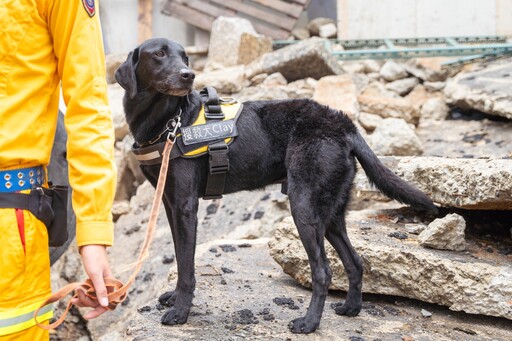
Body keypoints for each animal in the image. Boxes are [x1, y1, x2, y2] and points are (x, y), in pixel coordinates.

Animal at [116, 37, 436, 332]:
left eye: (185, 57)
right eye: (160, 54)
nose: (188, 75)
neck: (173, 121)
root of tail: (344, 124)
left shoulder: (185, 207)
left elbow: (186, 266)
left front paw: (181, 311)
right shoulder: (170, 205)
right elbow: (181, 258)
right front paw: (174, 298)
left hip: (304, 206)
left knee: (323, 271)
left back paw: (309, 323)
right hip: (330, 212)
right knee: (355, 262)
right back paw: (350, 308)